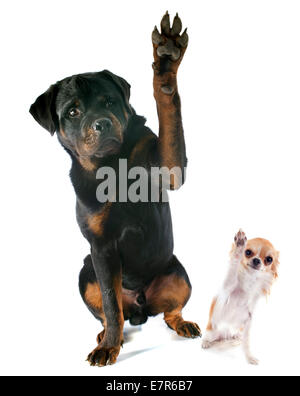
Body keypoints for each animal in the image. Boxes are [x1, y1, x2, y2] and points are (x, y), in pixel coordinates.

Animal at [29, 13, 200, 366]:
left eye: (109, 101)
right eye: (73, 111)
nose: (102, 122)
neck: (112, 164)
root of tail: (141, 306)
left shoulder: (169, 166)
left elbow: (169, 114)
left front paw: (166, 64)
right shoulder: (102, 249)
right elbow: (110, 302)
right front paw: (109, 346)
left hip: (178, 272)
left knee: (170, 311)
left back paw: (182, 323)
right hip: (86, 271)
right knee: (113, 314)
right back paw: (108, 334)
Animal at [200, 229, 280, 366]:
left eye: (269, 259)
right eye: (247, 252)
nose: (256, 260)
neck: (250, 281)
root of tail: (225, 334)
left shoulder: (248, 320)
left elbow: (246, 343)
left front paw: (249, 357)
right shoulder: (225, 292)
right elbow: (232, 271)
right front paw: (239, 246)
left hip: (237, 330)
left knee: (239, 337)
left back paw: (236, 337)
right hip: (212, 331)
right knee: (207, 336)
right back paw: (205, 342)